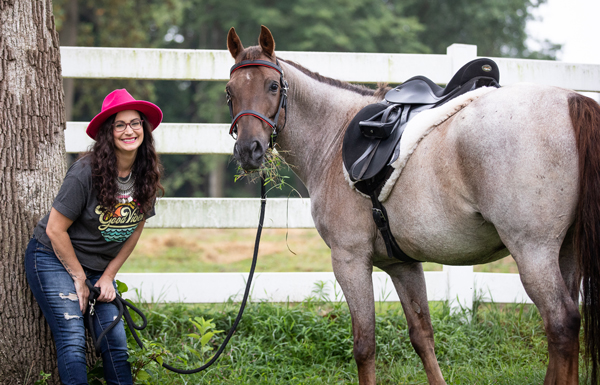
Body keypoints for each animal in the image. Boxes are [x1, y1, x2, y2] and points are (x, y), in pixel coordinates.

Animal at [224, 25, 600, 382]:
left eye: (273, 86)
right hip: (566, 252)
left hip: (532, 251)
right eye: (229, 92)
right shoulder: (402, 265)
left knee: (561, 323)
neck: (334, 136)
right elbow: (422, 335)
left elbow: (364, 344)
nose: (249, 150)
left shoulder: (349, 260)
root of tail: (571, 100)